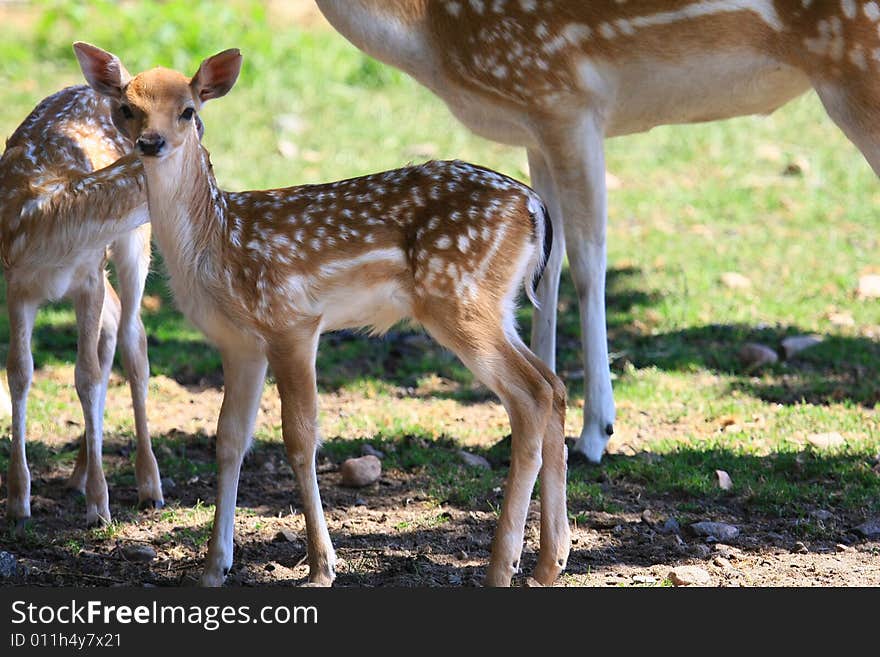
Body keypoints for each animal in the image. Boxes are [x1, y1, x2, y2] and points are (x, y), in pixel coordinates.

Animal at [0, 83, 163, 524]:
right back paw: (77, 474)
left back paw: (149, 486)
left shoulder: (89, 276)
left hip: (132, 245)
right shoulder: (16, 285)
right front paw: (18, 502)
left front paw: (99, 506)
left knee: (133, 337)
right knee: (113, 326)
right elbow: (19, 371)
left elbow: (86, 374)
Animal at [75, 42, 572, 584]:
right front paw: (213, 567)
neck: (216, 244)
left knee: (530, 396)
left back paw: (503, 566)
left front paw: (320, 567)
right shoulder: (239, 343)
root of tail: (535, 207)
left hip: (458, 298)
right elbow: (229, 441)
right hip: (496, 306)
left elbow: (299, 440)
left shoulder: (291, 322)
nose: (151, 142)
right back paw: (550, 561)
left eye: (188, 109)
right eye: (127, 108)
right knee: (554, 386)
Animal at [312, 0, 876, 462]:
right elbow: (544, 268)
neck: (429, 33)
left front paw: (594, 434)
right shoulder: (534, 125)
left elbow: (587, 262)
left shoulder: (565, 98)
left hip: (857, 65)